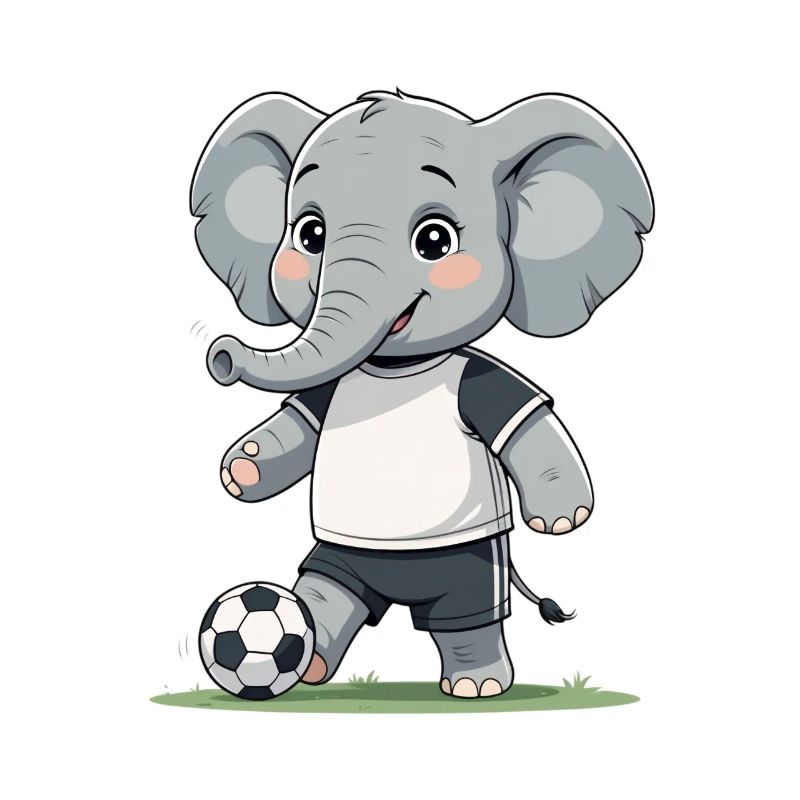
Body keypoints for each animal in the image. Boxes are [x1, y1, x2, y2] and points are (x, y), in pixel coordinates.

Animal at [191, 89, 653, 697]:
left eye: (435, 240)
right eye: (309, 235)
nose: (220, 355)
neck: (396, 366)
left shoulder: (483, 380)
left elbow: (525, 426)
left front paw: (562, 515)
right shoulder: (329, 391)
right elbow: (300, 429)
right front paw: (241, 470)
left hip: (469, 569)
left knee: (468, 619)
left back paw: (478, 684)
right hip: (344, 559)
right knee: (327, 592)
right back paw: (312, 666)